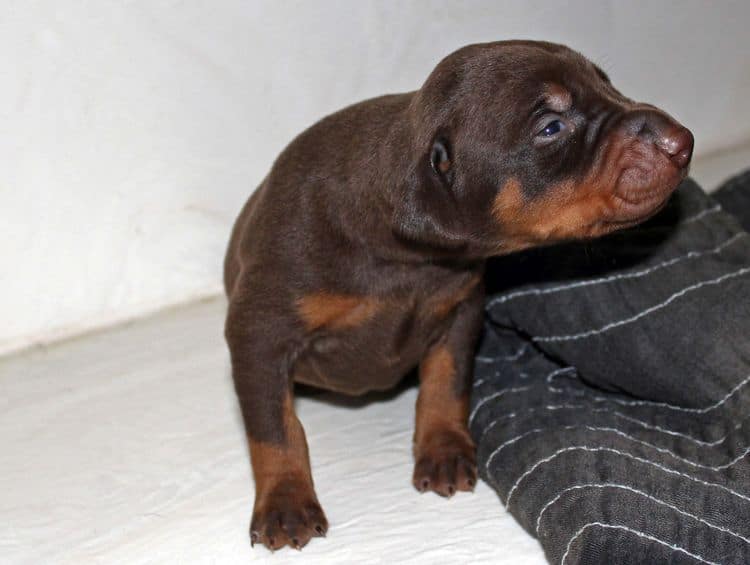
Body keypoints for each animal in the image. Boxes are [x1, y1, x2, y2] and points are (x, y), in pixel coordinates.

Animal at [223, 40, 692, 552]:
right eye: (551, 127)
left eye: (608, 85)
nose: (682, 141)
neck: (409, 259)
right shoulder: (260, 332)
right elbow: (275, 429)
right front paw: (286, 501)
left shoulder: (461, 311)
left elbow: (445, 384)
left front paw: (443, 449)